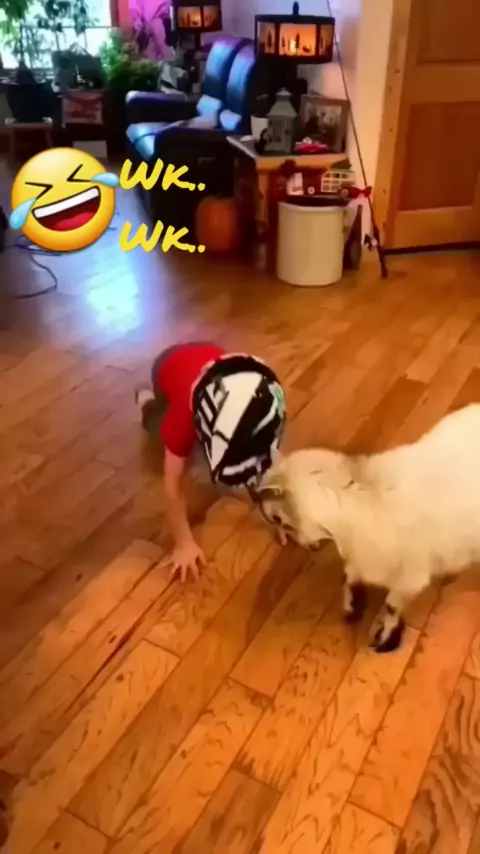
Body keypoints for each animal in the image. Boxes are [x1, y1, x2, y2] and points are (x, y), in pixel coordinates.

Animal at [254, 404, 480, 652]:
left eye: (278, 519)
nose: (306, 546)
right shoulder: (361, 559)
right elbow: (349, 577)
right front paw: (351, 605)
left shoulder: (410, 577)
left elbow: (391, 606)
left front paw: (385, 638)